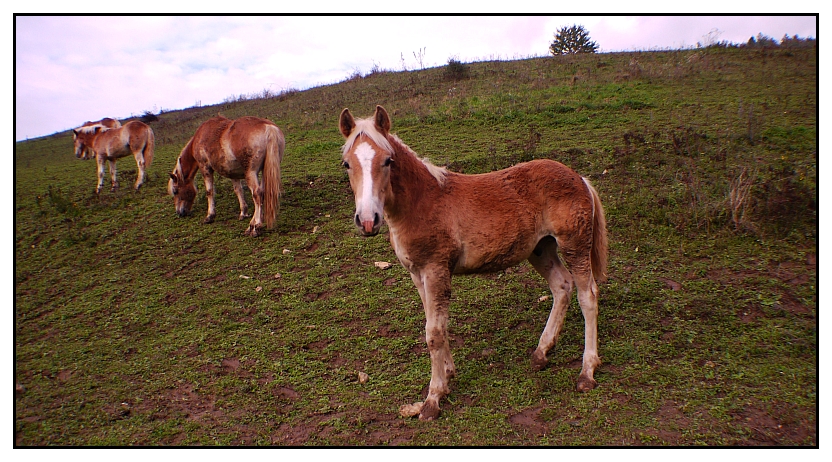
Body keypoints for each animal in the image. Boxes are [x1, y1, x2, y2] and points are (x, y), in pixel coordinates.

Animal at [340, 105, 612, 422]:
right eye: (347, 164)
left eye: (387, 161)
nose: (367, 221)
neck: (421, 203)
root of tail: (579, 177)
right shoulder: (418, 275)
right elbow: (436, 325)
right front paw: (447, 375)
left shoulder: (436, 269)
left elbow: (433, 333)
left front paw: (433, 399)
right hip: (540, 249)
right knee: (562, 287)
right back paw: (541, 353)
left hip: (574, 246)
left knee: (587, 296)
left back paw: (587, 372)